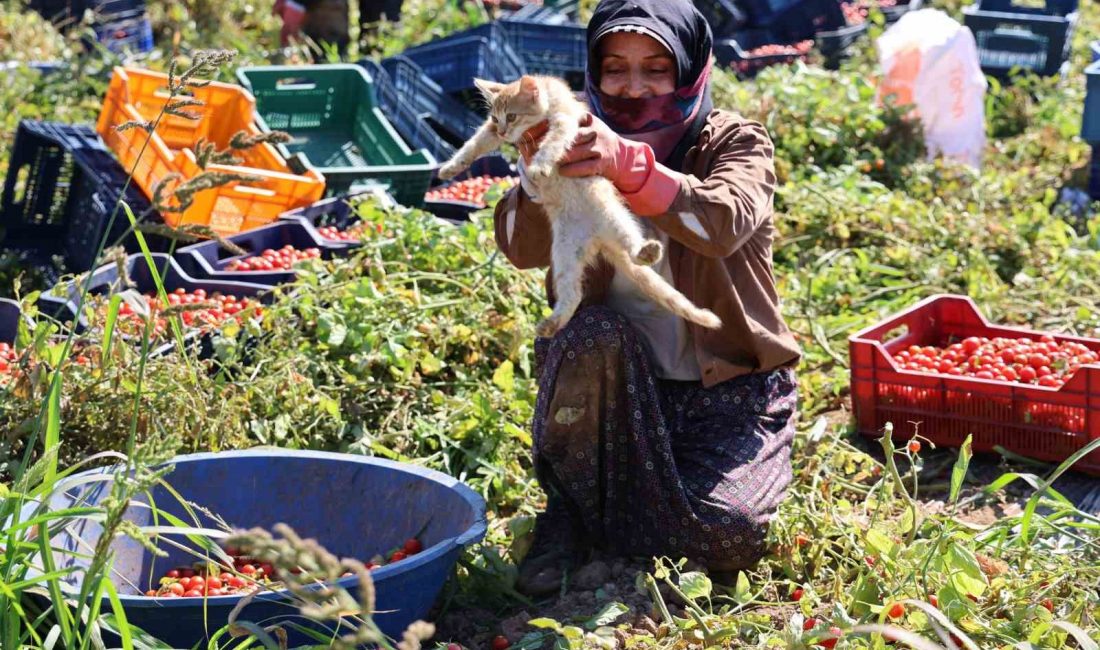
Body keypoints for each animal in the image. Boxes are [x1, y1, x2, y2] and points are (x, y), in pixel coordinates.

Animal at [437, 75, 721, 338]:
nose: (503, 132)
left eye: (512, 116)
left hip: (616, 218)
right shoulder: (489, 132)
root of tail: (597, 240)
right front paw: (450, 167)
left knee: (632, 246)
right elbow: (474, 144)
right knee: (573, 293)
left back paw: (645, 250)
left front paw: (540, 165)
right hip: (564, 255)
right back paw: (551, 324)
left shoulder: (566, 118)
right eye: (496, 119)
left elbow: (553, 141)